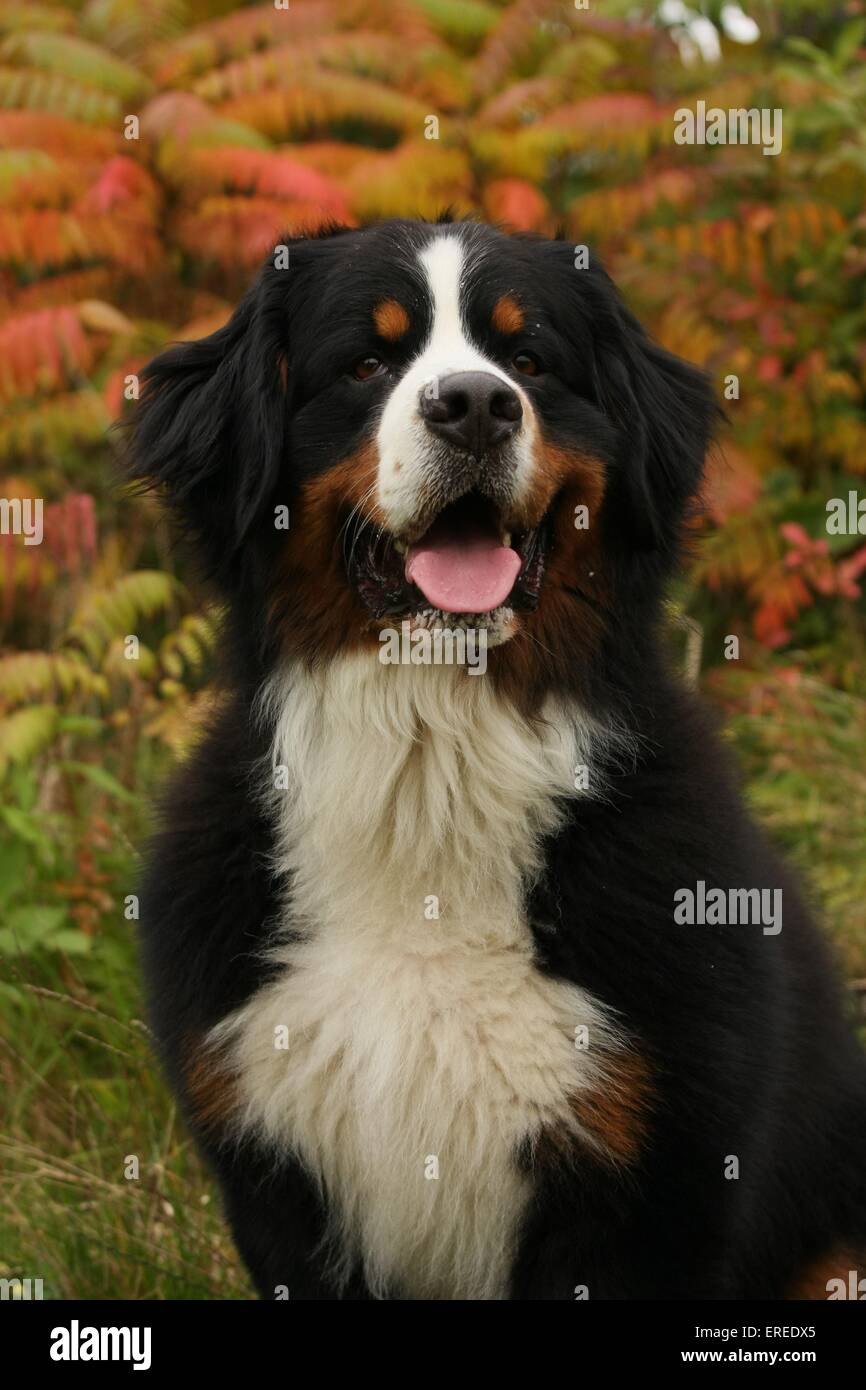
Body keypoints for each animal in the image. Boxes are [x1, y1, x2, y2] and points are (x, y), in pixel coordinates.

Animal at [128, 216, 866, 1301]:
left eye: (529, 360)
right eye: (366, 361)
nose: (474, 406)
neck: (431, 772)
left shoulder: (649, 1193)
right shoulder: (278, 1186)